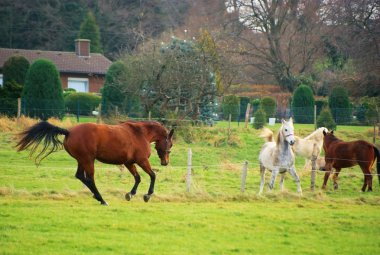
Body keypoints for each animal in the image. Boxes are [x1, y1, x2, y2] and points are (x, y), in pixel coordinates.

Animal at [16, 120, 174, 205]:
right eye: (170, 144)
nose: (165, 162)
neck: (140, 133)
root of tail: (69, 132)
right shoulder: (142, 160)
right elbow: (152, 175)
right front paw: (147, 195)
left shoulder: (129, 162)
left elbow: (138, 178)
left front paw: (131, 194)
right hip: (88, 160)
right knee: (90, 179)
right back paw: (102, 200)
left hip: (82, 160)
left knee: (81, 176)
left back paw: (97, 197)